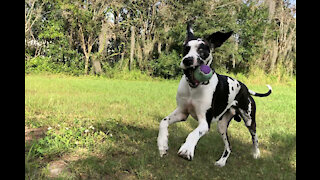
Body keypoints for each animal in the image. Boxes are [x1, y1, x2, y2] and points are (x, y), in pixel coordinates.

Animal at [156, 24, 272, 167]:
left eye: (201, 50)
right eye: (186, 49)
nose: (187, 60)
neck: (194, 88)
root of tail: (244, 87)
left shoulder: (205, 122)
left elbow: (193, 133)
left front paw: (187, 149)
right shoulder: (182, 113)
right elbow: (163, 122)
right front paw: (162, 145)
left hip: (249, 121)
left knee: (255, 138)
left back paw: (256, 153)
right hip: (221, 127)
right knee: (228, 146)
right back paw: (222, 162)